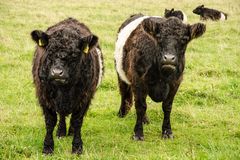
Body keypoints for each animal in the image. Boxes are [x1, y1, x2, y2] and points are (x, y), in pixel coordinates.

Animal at [30, 17, 103, 154]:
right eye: (50, 51)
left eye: (74, 55)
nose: (57, 73)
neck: (64, 91)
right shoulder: (44, 96)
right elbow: (50, 122)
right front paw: (48, 148)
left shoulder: (85, 97)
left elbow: (77, 121)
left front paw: (77, 147)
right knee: (62, 115)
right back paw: (61, 132)